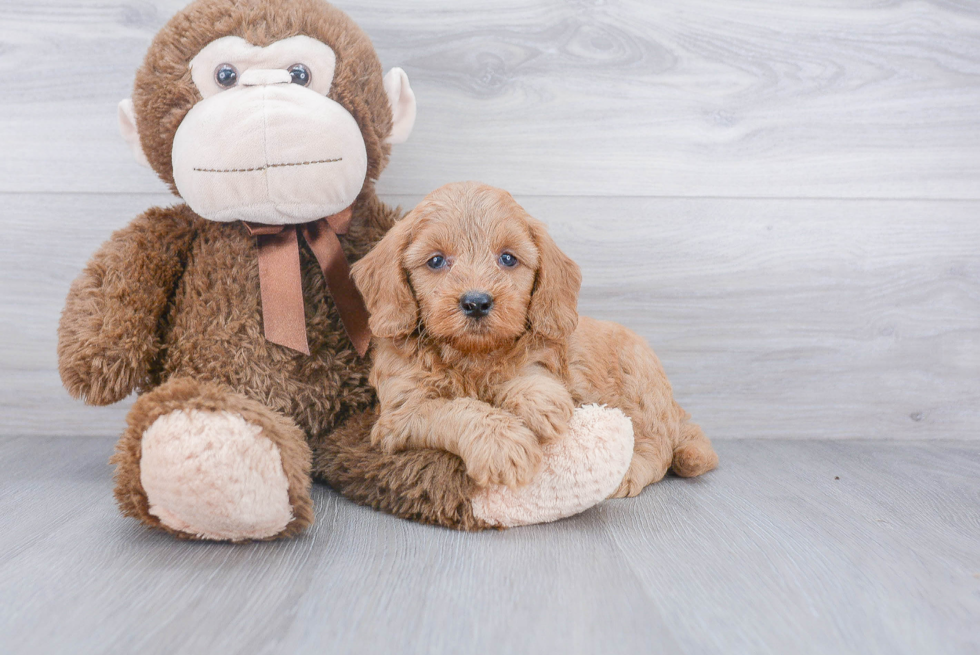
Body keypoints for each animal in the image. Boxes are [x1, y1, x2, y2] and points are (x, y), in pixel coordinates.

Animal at [348, 181, 716, 498]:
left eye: (508, 258)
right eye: (436, 261)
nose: (476, 302)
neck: (471, 356)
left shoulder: (545, 357)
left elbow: (527, 373)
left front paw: (537, 400)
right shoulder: (401, 413)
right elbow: (454, 409)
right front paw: (502, 443)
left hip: (639, 384)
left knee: (658, 446)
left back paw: (628, 472)